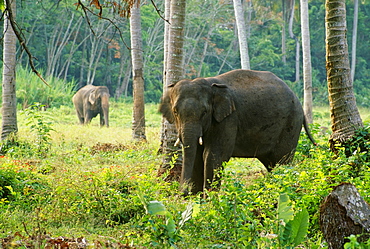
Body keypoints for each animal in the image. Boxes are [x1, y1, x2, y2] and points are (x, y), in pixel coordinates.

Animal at [159, 68, 316, 195]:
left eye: (204, 112)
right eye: (175, 112)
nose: (182, 193)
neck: (211, 85)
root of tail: (298, 101)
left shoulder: (228, 119)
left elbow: (213, 155)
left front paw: (208, 200)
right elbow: (197, 155)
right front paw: (194, 200)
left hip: (291, 123)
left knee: (282, 160)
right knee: (271, 163)